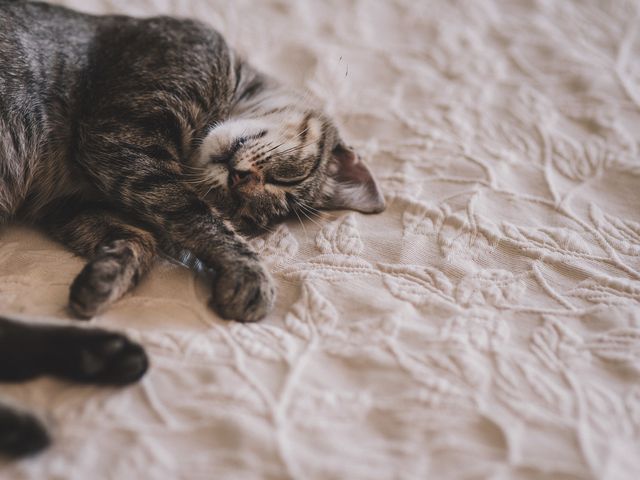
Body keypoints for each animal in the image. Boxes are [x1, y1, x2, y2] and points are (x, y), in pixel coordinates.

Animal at [0, 0, 384, 458]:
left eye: (242, 210)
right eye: (287, 178)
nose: (240, 181)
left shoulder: (71, 203)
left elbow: (144, 238)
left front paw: (105, 275)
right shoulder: (120, 139)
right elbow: (193, 214)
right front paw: (250, 274)